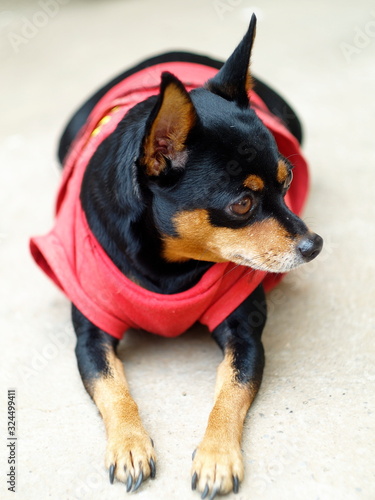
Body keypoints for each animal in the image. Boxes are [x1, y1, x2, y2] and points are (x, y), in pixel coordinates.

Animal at [30, 13, 324, 498]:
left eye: (288, 180)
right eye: (242, 204)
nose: (314, 245)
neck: (171, 265)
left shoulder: (244, 335)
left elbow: (230, 392)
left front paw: (216, 456)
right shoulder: (91, 336)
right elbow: (112, 387)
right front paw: (130, 445)